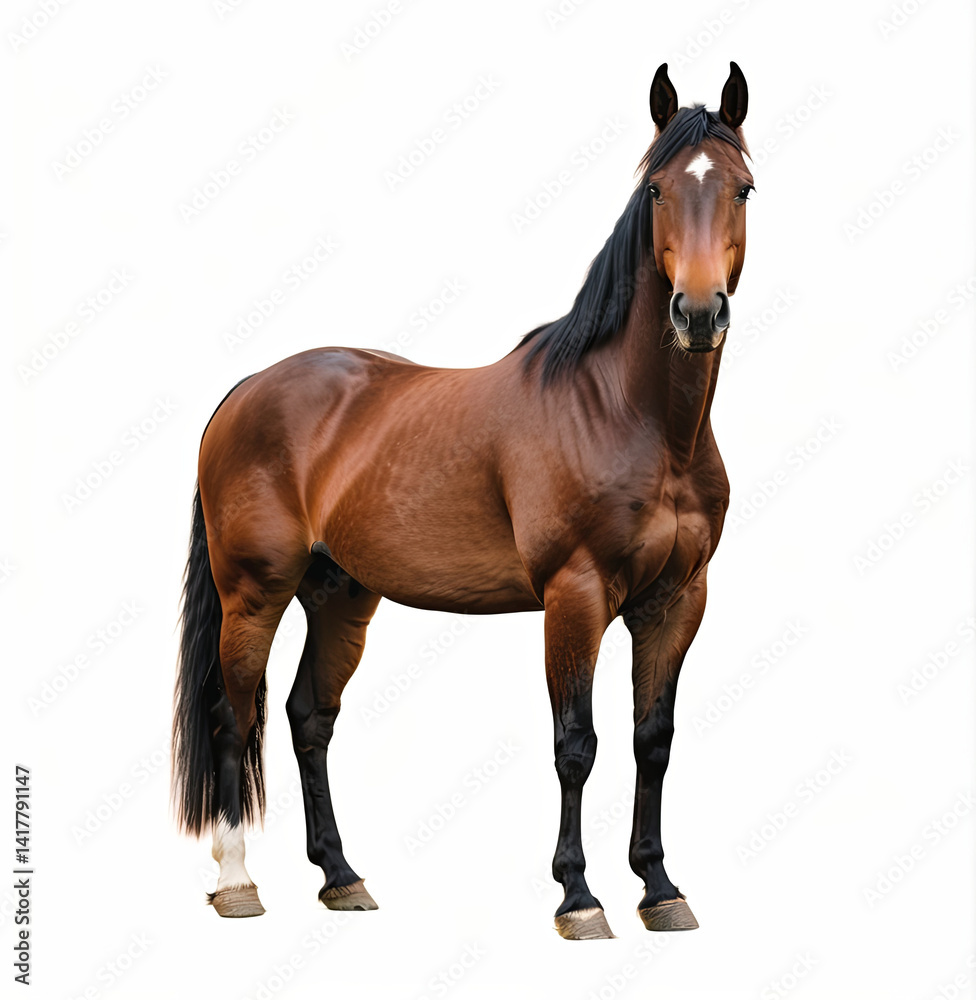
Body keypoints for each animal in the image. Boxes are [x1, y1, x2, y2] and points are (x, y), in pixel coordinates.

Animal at [171, 61, 753, 940]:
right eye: (655, 190)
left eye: (743, 188)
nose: (697, 312)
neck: (633, 416)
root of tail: (246, 389)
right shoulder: (575, 597)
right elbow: (576, 744)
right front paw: (579, 897)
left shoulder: (678, 600)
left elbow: (652, 740)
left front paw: (659, 888)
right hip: (254, 592)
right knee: (235, 715)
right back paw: (238, 882)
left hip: (340, 595)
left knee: (309, 718)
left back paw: (341, 876)